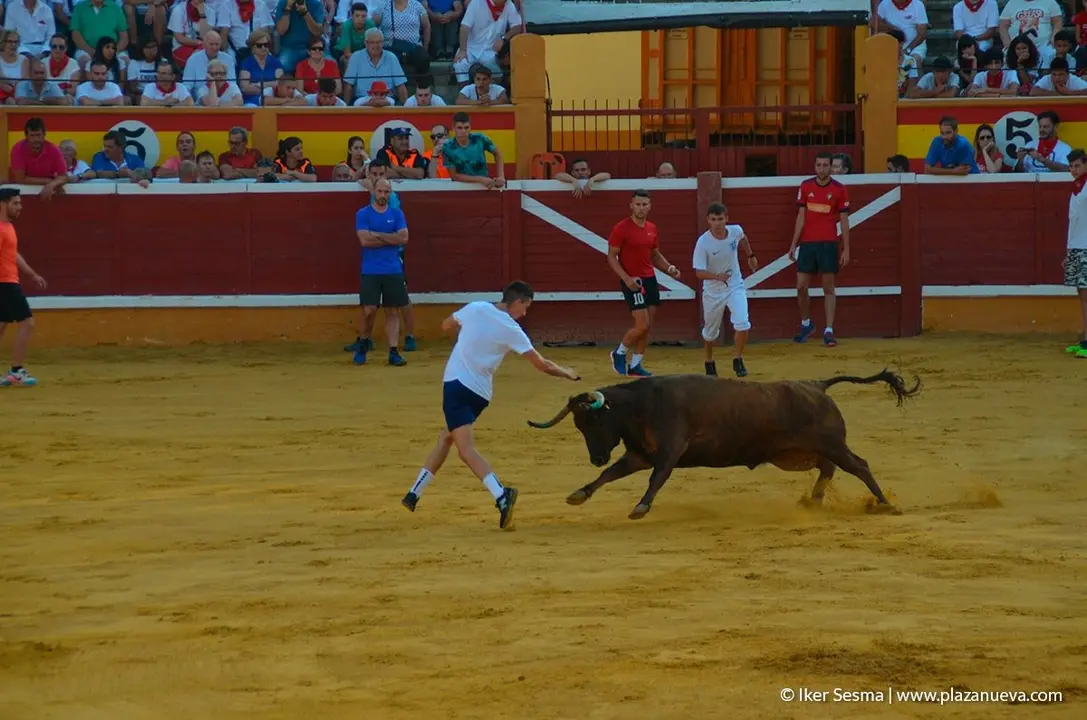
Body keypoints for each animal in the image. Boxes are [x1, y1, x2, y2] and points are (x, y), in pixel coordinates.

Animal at [526, 369, 921, 520]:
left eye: (594, 420)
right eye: (577, 424)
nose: (594, 456)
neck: (640, 405)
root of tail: (817, 385)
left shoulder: (670, 450)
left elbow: (656, 479)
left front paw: (641, 507)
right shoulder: (640, 454)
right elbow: (611, 474)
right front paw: (579, 494)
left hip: (830, 443)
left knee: (858, 465)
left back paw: (885, 504)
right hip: (798, 454)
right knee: (829, 469)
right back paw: (813, 501)